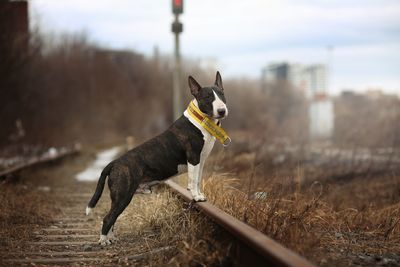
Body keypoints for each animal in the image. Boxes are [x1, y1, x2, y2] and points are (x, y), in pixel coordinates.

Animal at [86, 71, 230, 247]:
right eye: (208, 97)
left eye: (222, 94)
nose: (222, 111)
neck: (201, 120)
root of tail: (113, 163)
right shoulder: (193, 157)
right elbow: (192, 181)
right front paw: (196, 197)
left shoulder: (201, 161)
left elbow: (197, 179)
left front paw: (200, 195)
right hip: (123, 195)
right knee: (108, 218)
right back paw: (104, 241)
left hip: (119, 197)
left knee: (113, 217)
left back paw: (111, 238)